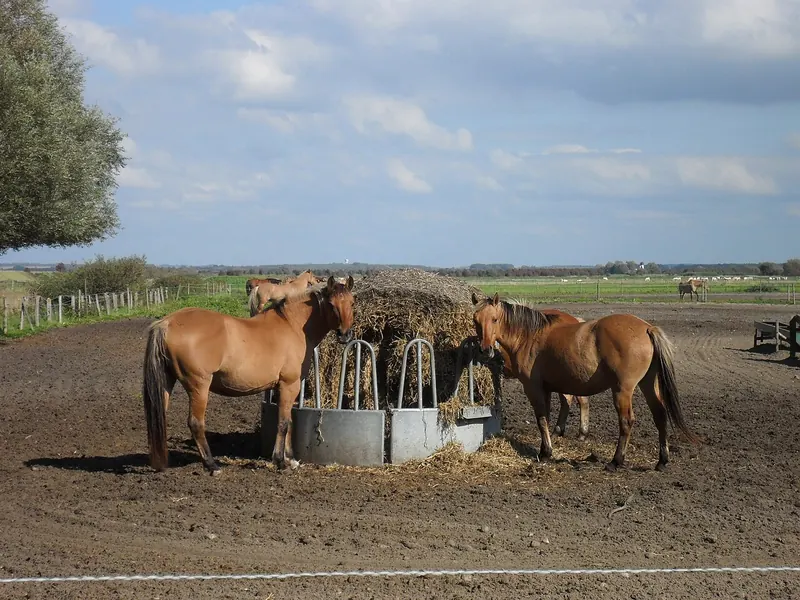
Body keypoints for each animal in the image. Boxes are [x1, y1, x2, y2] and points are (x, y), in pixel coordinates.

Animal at [142, 275, 355, 475]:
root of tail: (166, 322)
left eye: (352, 302)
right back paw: (212, 465)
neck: (292, 325)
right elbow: (283, 423)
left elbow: (289, 421)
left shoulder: (285, 388)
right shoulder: (289, 385)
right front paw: (280, 462)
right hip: (199, 387)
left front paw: (291, 460)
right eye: (331, 304)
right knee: (195, 423)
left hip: (167, 382)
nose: (345, 334)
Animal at [471, 292, 699, 472]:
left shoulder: (533, 388)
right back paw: (662, 461)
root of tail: (646, 328)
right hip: (648, 384)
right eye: (476, 320)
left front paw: (545, 453)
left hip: (622, 390)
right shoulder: (546, 389)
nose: (484, 349)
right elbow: (547, 418)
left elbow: (541, 419)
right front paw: (548, 448)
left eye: (494, 319)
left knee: (626, 421)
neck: (528, 336)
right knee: (660, 415)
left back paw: (616, 461)